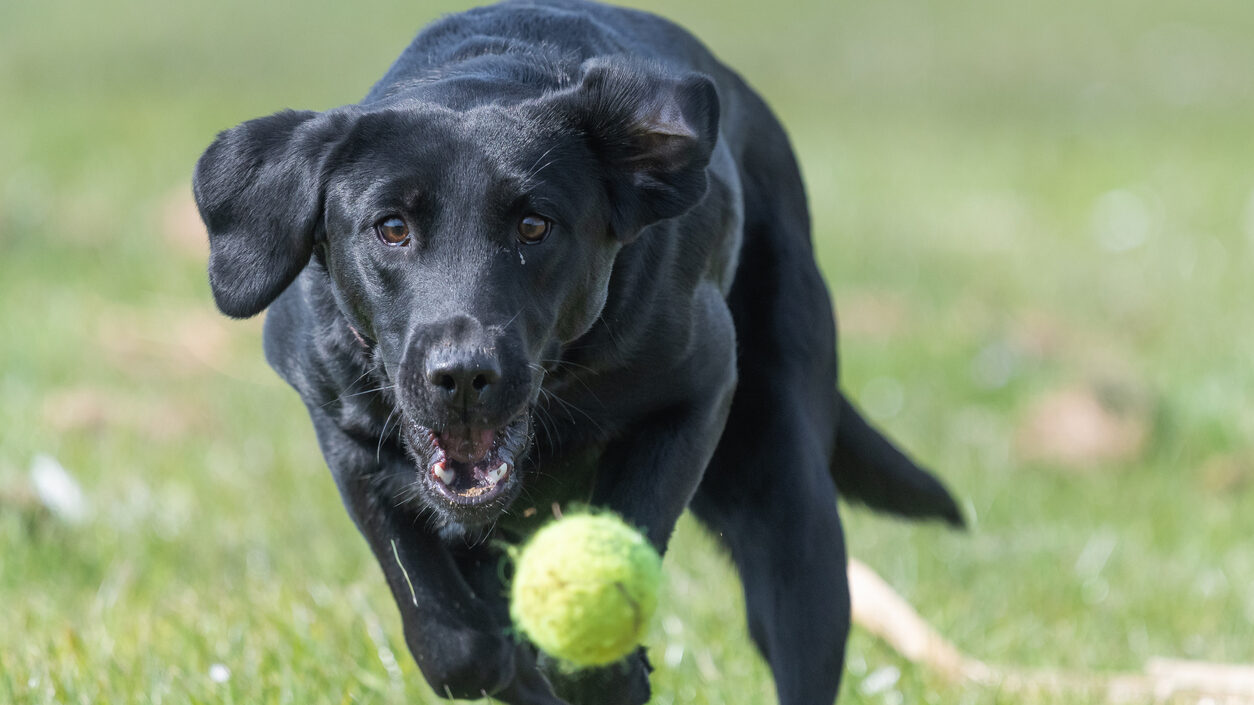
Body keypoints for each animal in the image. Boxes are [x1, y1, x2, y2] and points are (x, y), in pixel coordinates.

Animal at [193, 2, 958, 697]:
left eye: (535, 225)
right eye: (391, 227)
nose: (463, 375)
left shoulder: (698, 391)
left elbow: (626, 539)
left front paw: (601, 668)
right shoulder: (344, 432)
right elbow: (450, 636)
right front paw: (513, 663)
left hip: (787, 489)